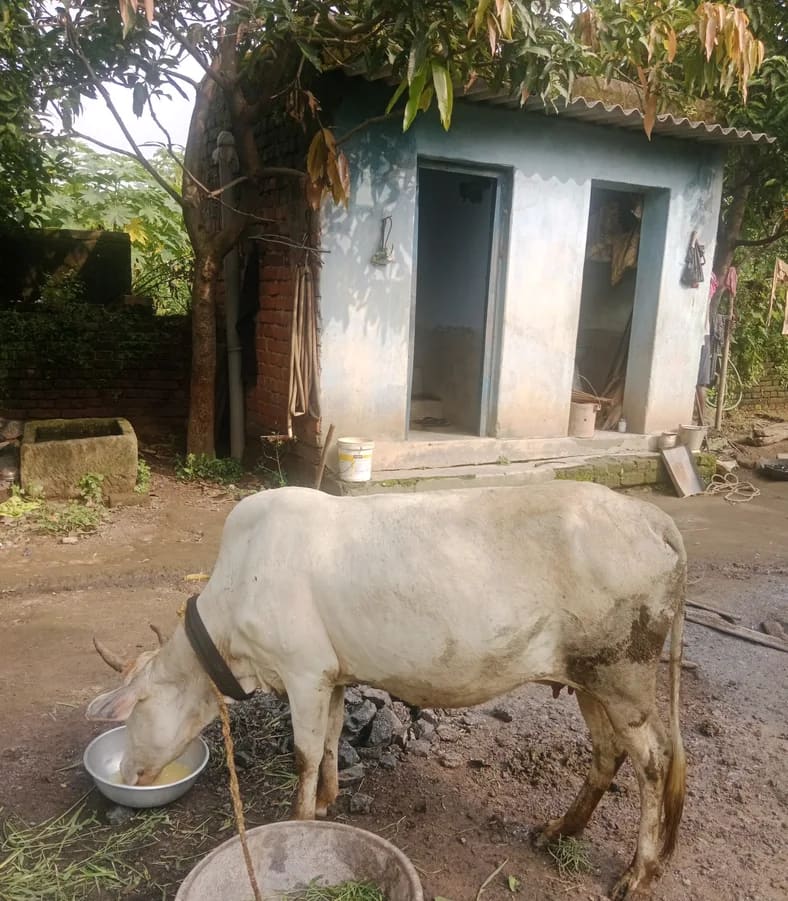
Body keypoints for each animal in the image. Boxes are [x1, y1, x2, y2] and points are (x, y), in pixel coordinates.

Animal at [87, 482, 686, 899]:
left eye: (131, 715)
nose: (129, 773)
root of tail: (652, 517)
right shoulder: (330, 674)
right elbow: (330, 739)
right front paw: (328, 799)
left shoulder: (302, 671)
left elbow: (304, 754)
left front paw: (301, 819)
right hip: (591, 677)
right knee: (608, 752)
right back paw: (561, 829)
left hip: (624, 671)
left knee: (656, 761)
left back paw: (640, 872)